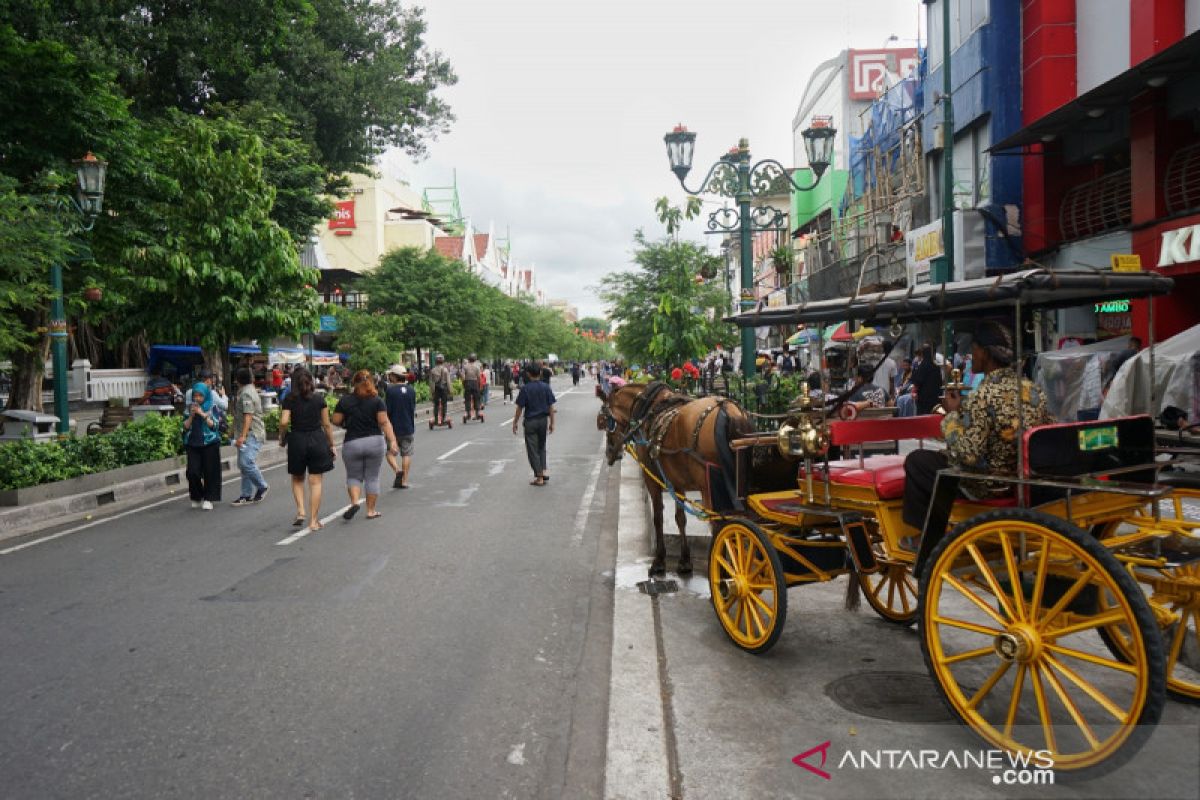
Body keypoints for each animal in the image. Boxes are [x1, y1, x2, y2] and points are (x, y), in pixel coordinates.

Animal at [597, 381, 753, 575]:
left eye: (604, 420)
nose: (609, 453)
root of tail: (728, 409)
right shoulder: (678, 483)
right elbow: (680, 518)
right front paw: (685, 560)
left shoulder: (651, 479)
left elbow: (658, 517)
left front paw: (659, 560)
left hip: (710, 488)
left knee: (719, 525)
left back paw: (722, 573)